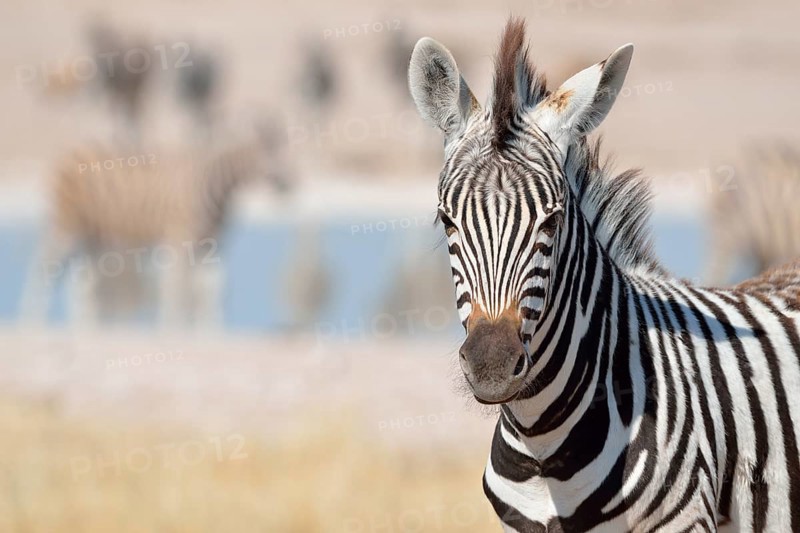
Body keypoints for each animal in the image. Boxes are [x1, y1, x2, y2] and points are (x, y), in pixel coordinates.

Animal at [21, 122, 292, 327]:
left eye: (284, 148)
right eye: (268, 150)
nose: (288, 183)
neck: (214, 183)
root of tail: (68, 151)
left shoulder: (213, 242)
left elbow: (213, 288)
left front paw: (211, 333)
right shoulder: (178, 238)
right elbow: (175, 286)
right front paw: (171, 330)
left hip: (91, 235)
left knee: (81, 279)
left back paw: (86, 330)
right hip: (66, 226)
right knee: (44, 264)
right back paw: (31, 325)